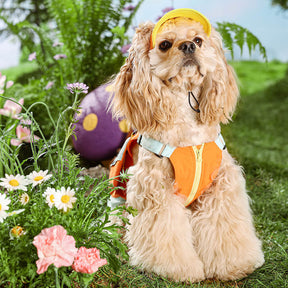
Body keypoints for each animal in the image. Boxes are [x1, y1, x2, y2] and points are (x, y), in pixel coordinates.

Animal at [107, 7, 264, 282]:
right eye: (165, 44)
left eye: (199, 40)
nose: (189, 46)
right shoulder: (156, 190)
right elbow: (165, 233)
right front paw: (177, 269)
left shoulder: (221, 185)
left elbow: (225, 229)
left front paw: (234, 264)